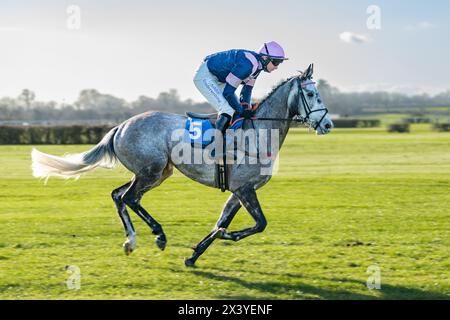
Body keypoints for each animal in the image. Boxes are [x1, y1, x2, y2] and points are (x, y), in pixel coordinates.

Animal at [31, 63, 332, 266]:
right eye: (311, 95)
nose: (328, 124)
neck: (258, 132)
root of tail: (120, 126)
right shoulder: (244, 189)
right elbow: (259, 224)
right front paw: (225, 237)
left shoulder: (239, 191)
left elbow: (221, 221)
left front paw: (195, 255)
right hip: (151, 171)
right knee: (129, 198)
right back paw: (159, 235)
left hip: (155, 173)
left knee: (119, 195)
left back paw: (131, 241)